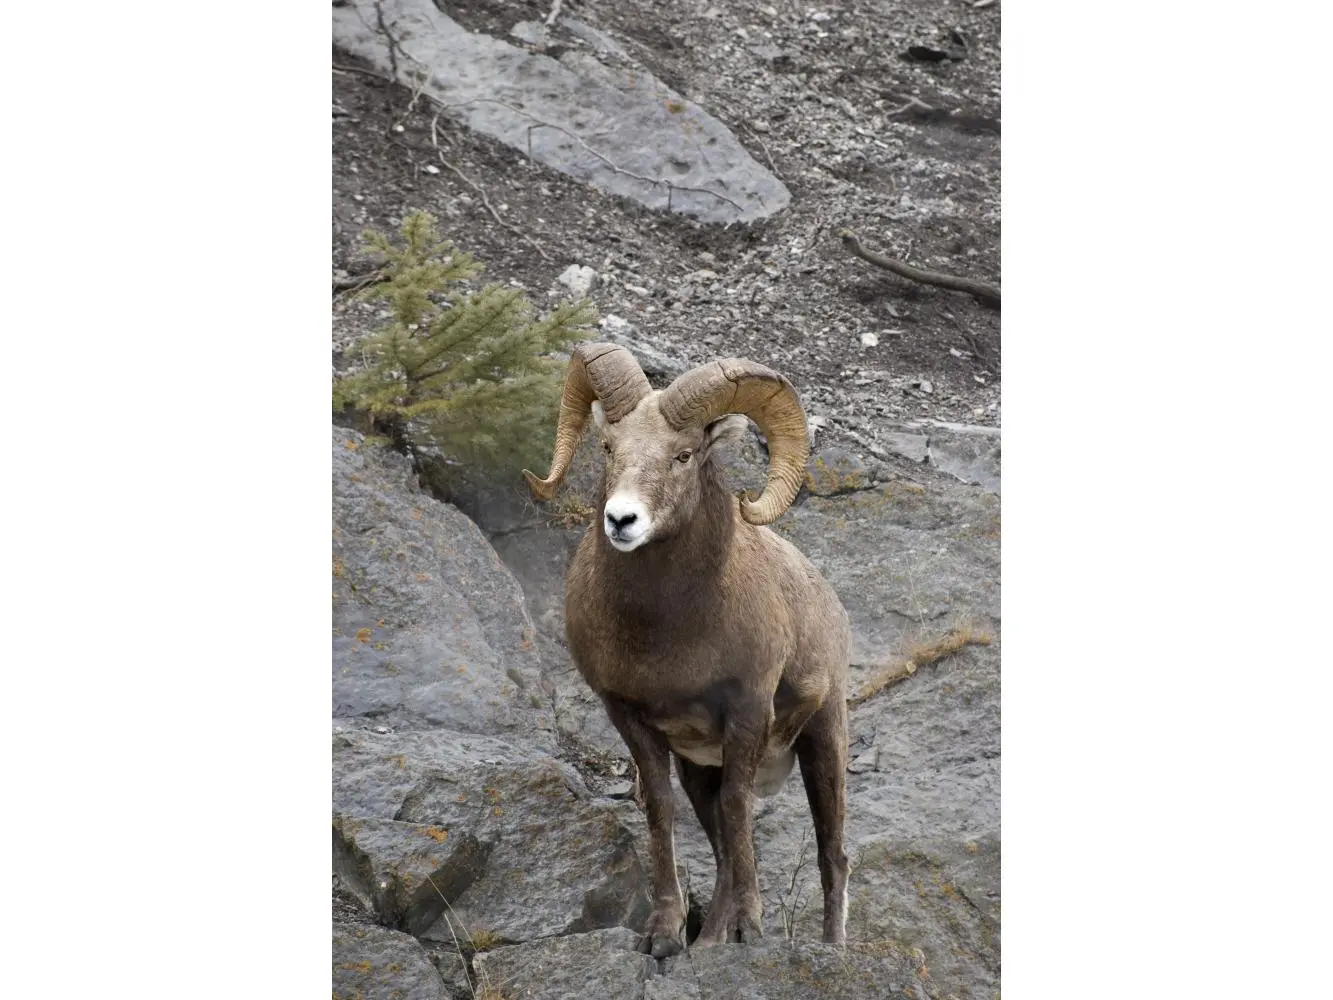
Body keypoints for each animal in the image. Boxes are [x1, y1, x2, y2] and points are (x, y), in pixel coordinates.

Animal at [523, 342, 851, 957]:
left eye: (682, 454)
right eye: (609, 447)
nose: (621, 520)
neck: (670, 634)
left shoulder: (747, 711)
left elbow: (739, 809)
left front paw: (747, 929)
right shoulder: (630, 716)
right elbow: (662, 809)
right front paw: (665, 935)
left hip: (825, 736)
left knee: (831, 853)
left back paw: (830, 947)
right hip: (701, 766)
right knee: (721, 842)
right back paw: (710, 940)